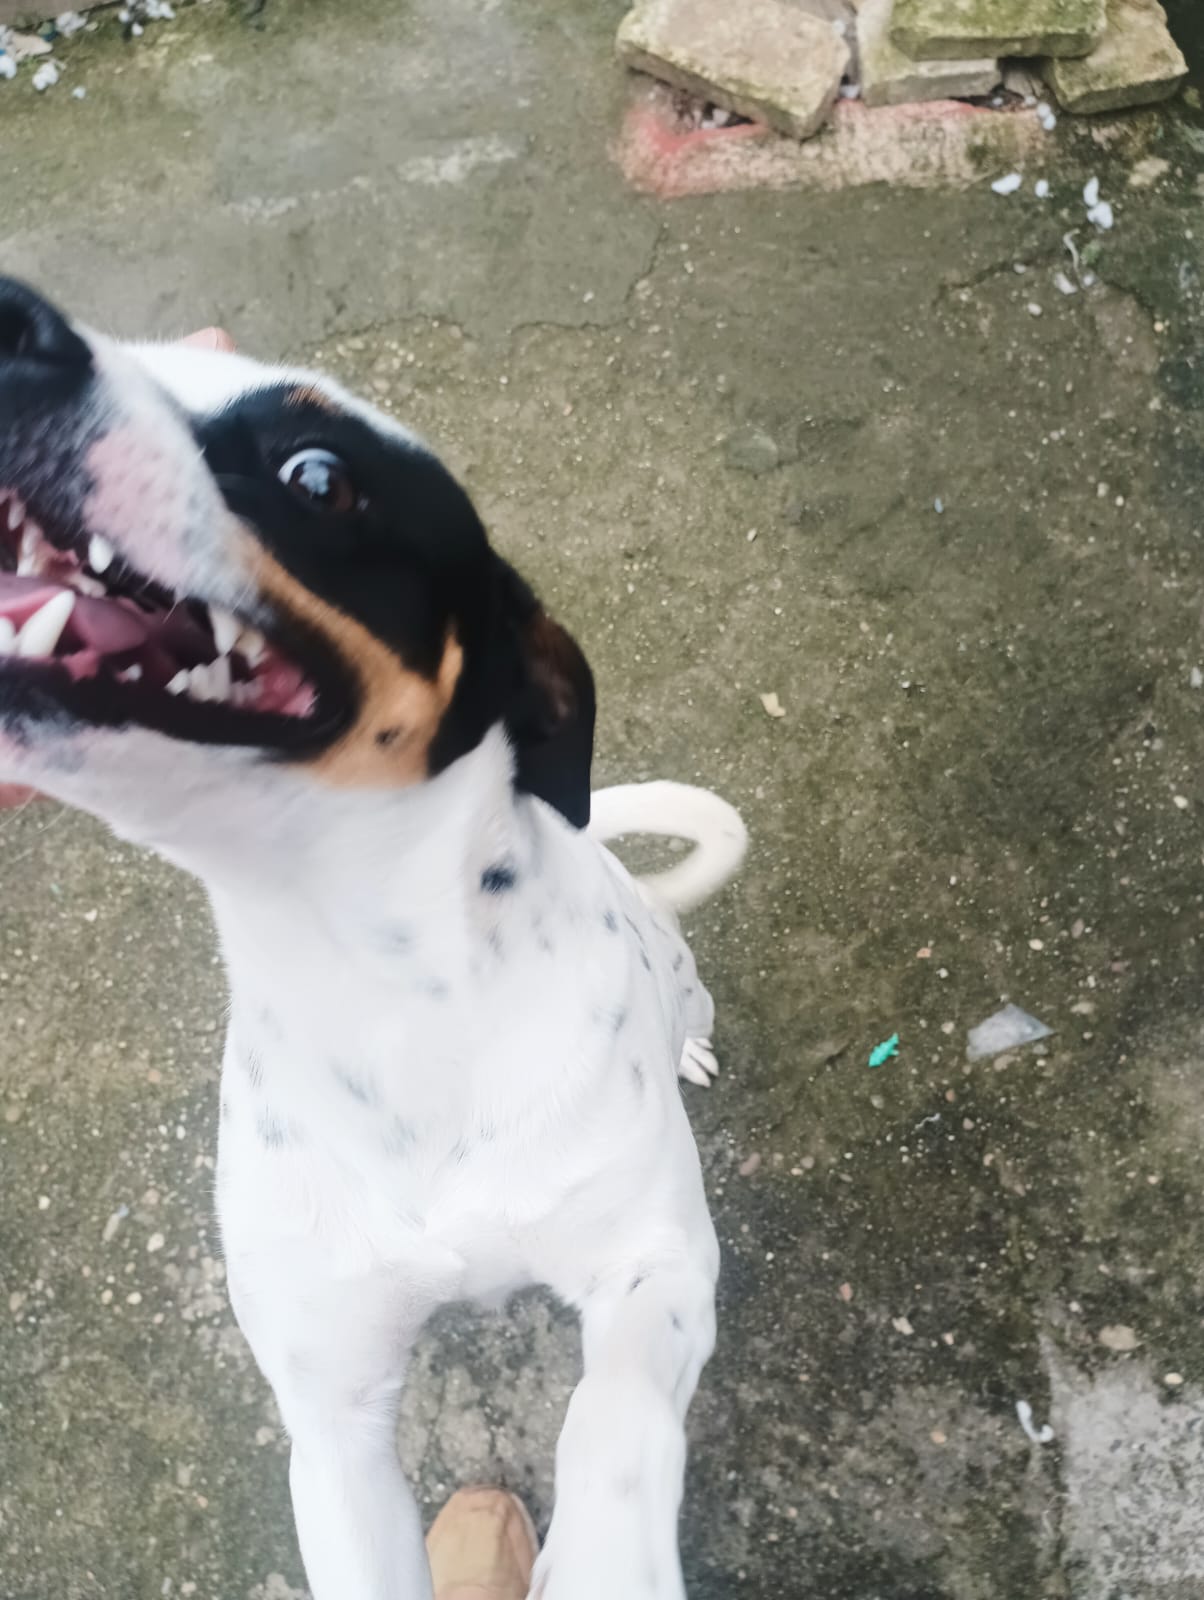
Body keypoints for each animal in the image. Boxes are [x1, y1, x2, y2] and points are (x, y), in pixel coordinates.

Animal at [0, 277, 746, 1600]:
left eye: (318, 475)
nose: (8, 317)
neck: (394, 978)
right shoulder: (331, 1415)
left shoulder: (655, 1265)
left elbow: (613, 1416)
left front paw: (606, 1556)